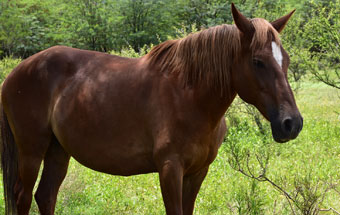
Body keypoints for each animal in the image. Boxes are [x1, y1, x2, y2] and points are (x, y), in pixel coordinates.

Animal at [0, 3, 302, 215]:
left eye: (286, 59)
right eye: (257, 61)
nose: (292, 123)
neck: (190, 97)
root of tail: (14, 74)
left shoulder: (197, 172)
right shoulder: (170, 169)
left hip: (58, 151)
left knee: (45, 196)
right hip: (31, 151)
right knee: (23, 197)